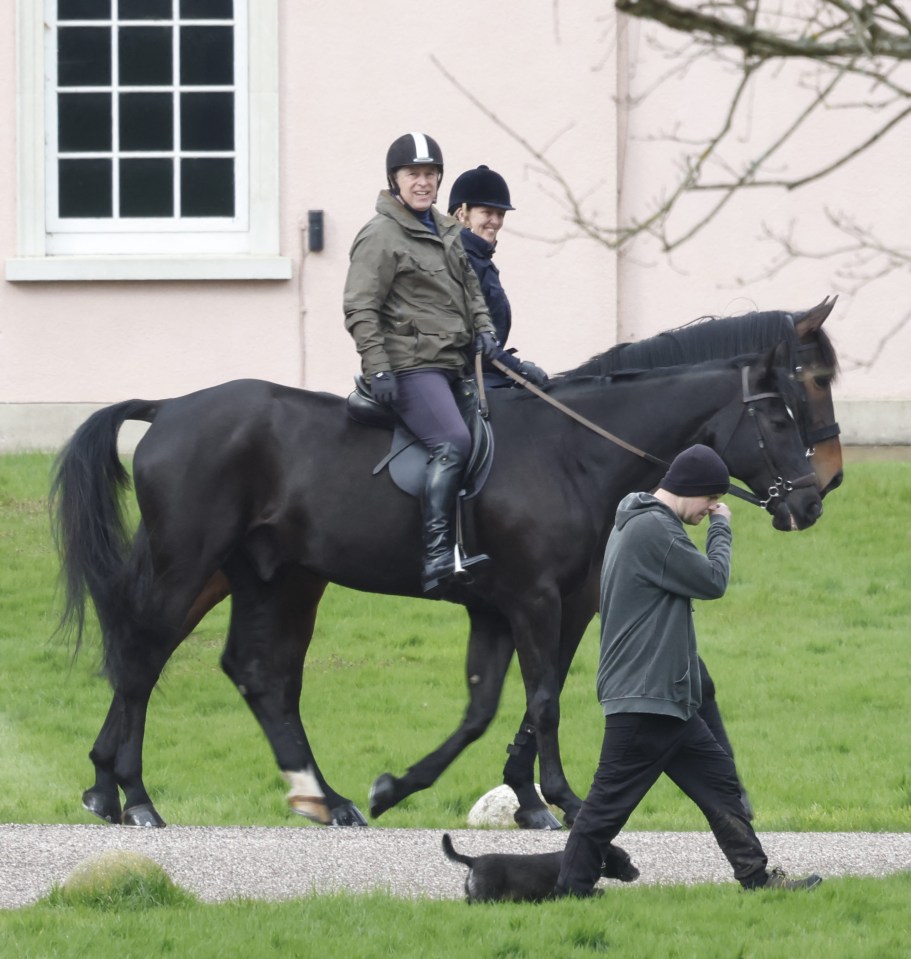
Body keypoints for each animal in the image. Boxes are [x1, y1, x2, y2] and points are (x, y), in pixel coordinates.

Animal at [51, 302, 840, 832]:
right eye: (784, 409)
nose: (813, 497)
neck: (575, 451)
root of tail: (169, 409)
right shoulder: (535, 599)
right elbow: (542, 698)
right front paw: (561, 799)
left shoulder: (524, 605)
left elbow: (490, 707)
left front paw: (411, 788)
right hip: (188, 564)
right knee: (144, 652)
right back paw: (133, 796)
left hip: (276, 577)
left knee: (254, 672)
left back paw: (315, 796)